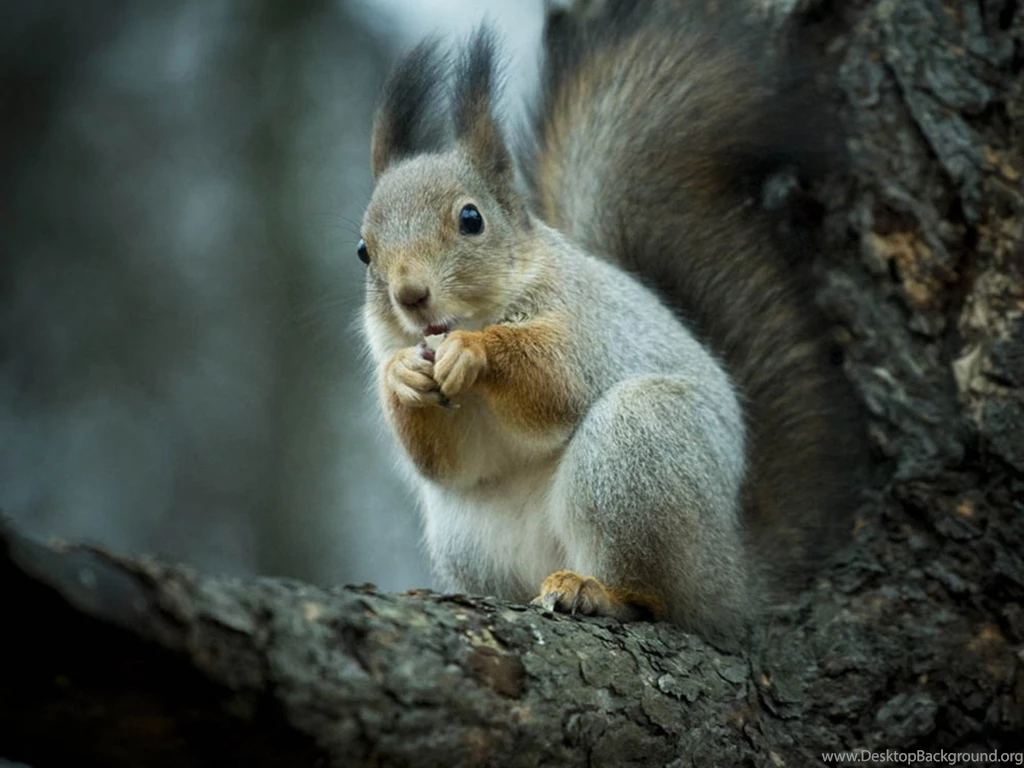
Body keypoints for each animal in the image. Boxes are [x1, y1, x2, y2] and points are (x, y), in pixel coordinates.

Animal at [358, 0, 864, 642]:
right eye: (363, 251)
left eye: (471, 219)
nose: (411, 295)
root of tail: (731, 578)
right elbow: (446, 460)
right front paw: (401, 374)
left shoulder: (586, 321)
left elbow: (554, 381)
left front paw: (476, 349)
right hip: (468, 533)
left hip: (636, 449)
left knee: (657, 598)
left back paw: (599, 591)